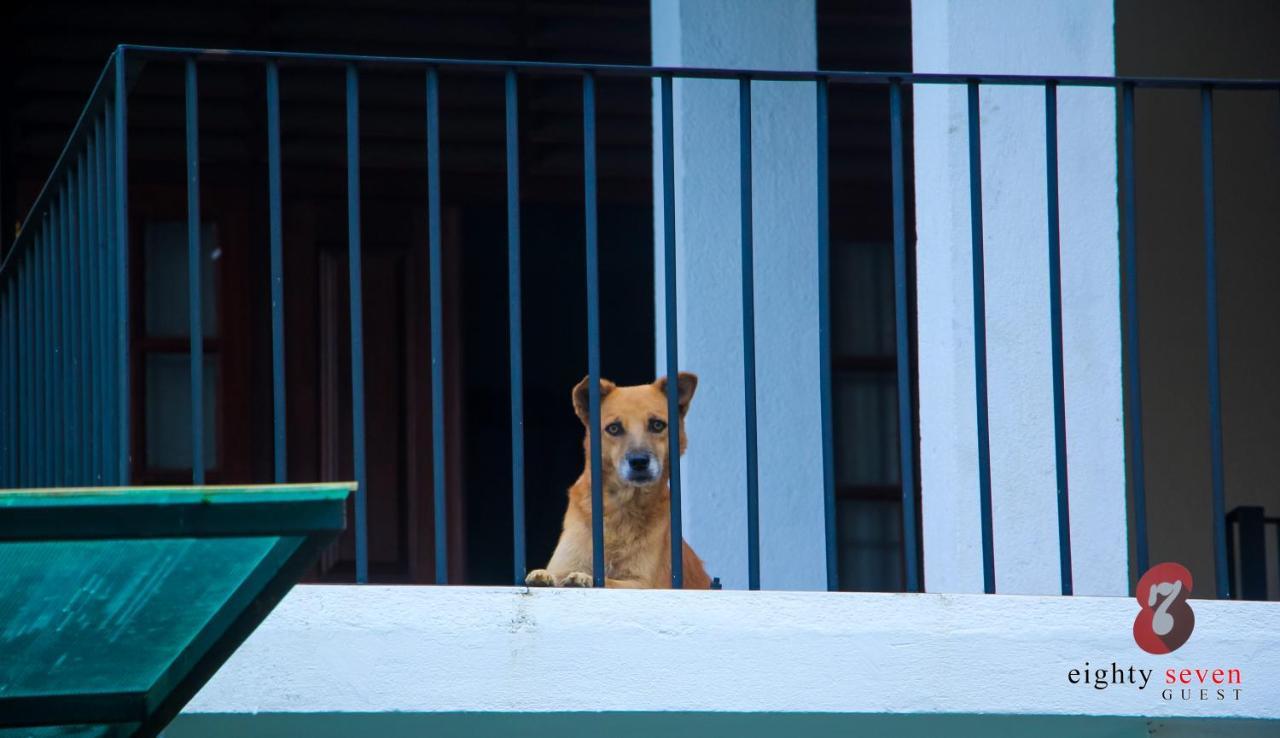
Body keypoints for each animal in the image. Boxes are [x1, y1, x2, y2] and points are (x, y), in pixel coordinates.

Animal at [524, 370, 716, 590]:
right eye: (614, 428)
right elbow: (558, 572)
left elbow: (606, 580)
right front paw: (545, 576)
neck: (620, 508)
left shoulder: (645, 583)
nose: (639, 462)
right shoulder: (566, 561)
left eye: (657, 425)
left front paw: (584, 577)